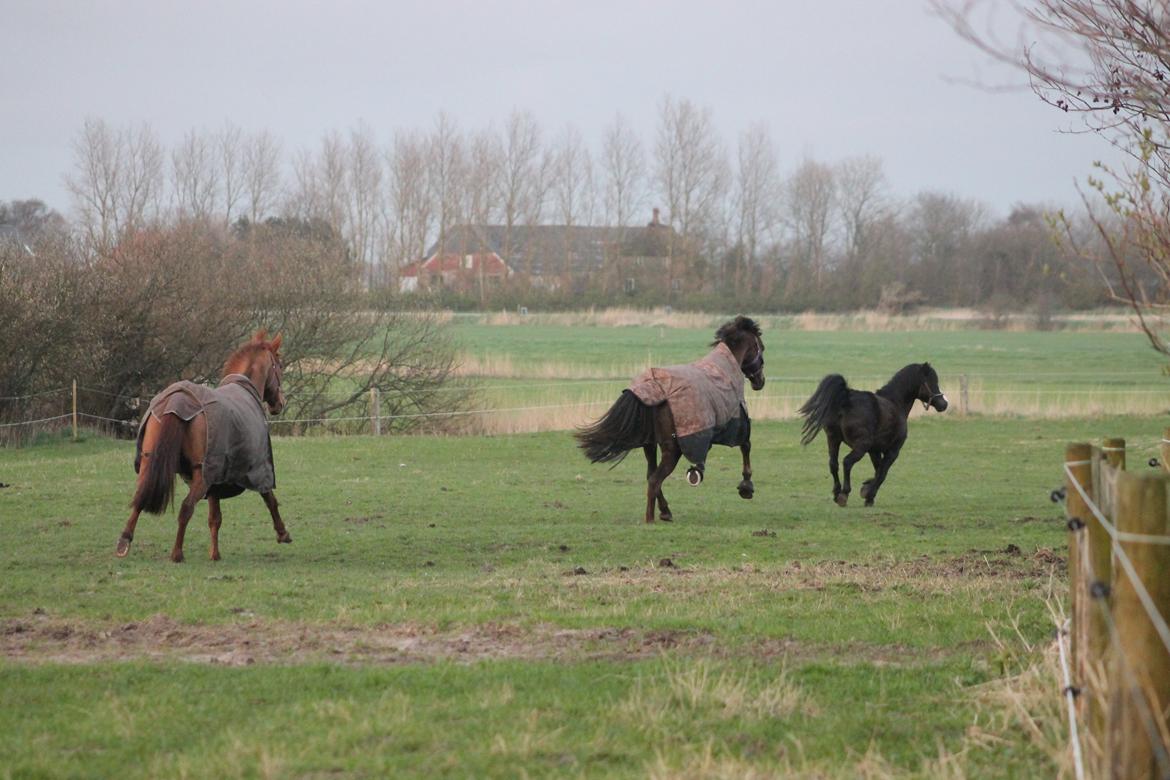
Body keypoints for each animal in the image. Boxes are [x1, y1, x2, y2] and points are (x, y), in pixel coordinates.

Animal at [115, 330, 290, 563]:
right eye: (279, 365)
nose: (280, 403)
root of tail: (177, 400)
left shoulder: (216, 480)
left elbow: (214, 518)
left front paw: (214, 554)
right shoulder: (258, 469)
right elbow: (270, 499)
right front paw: (282, 533)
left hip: (150, 464)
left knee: (140, 498)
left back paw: (124, 541)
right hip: (201, 476)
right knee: (186, 508)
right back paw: (177, 553)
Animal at [575, 316, 766, 524]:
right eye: (761, 347)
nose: (760, 381)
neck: (724, 370)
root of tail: (654, 390)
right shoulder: (735, 425)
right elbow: (746, 446)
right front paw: (746, 486)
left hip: (650, 445)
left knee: (651, 475)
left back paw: (665, 512)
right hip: (672, 449)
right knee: (655, 479)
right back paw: (651, 518)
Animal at [798, 362, 947, 507]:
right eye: (931, 380)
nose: (944, 404)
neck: (895, 403)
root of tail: (846, 399)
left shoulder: (874, 450)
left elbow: (878, 469)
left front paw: (867, 488)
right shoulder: (893, 450)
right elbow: (882, 473)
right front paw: (868, 494)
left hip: (833, 439)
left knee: (833, 464)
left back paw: (836, 493)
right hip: (860, 446)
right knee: (847, 462)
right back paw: (844, 494)